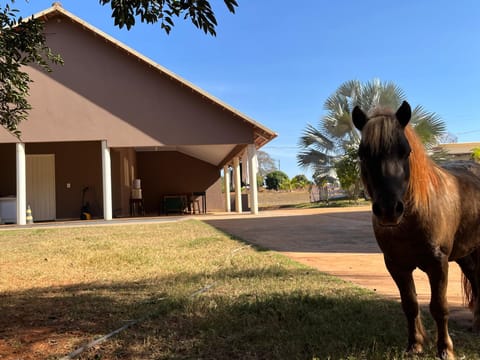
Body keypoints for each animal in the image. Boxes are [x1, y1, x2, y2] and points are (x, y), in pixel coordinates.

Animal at [350, 101, 478, 360]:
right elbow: (409, 304)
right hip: (465, 254)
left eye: (405, 151)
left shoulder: (438, 264)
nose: (389, 210)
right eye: (363, 153)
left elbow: (439, 307)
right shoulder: (396, 265)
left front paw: (445, 350)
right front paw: (415, 345)